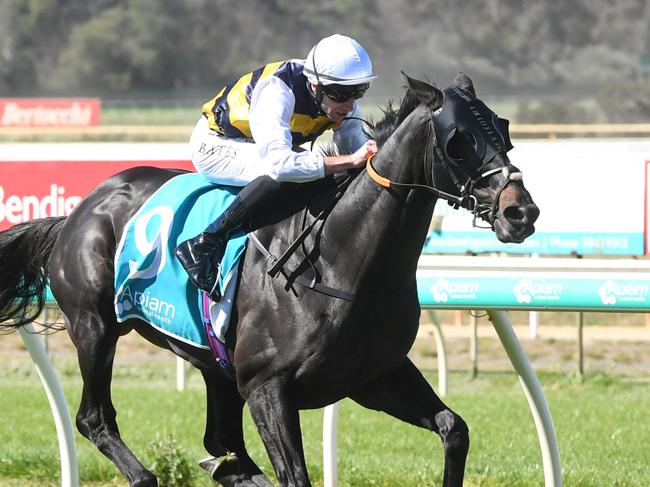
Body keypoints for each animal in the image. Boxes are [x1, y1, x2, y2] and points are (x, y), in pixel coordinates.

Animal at [0, 73, 536, 487]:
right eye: (459, 141)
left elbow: (454, 429)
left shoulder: (375, 377)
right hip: (95, 326)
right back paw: (146, 474)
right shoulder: (266, 388)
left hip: (214, 364)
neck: (343, 262)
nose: (521, 212)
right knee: (94, 418)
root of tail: (80, 209)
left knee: (221, 444)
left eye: (503, 128)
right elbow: (295, 476)